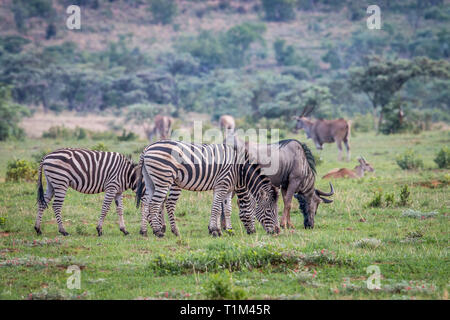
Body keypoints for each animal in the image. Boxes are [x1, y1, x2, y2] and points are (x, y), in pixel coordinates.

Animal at [135, 140, 280, 238]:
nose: (277, 231)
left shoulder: (226, 188)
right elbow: (216, 208)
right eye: (269, 211)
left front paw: (227, 230)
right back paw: (158, 232)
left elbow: (225, 209)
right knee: (155, 204)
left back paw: (144, 231)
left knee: (145, 202)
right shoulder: (222, 184)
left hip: (151, 181)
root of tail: (147, 148)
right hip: (163, 180)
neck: (239, 170)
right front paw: (216, 231)